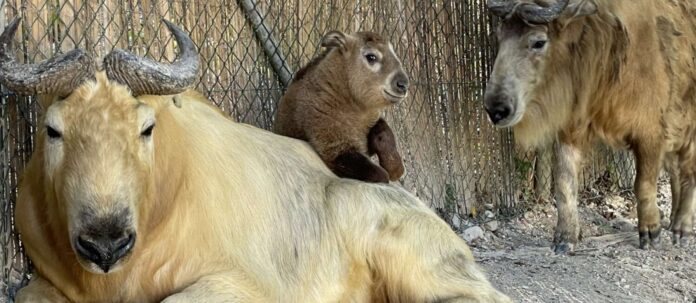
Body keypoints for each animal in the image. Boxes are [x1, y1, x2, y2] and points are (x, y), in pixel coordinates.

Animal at [274, 30, 408, 183]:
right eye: (371, 57)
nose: (403, 85)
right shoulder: (334, 147)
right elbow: (379, 175)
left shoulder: (370, 124)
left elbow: (385, 133)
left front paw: (395, 168)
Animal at [484, 0, 696, 254]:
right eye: (499, 37)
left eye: (538, 42)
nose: (496, 110)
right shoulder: (571, 130)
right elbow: (564, 183)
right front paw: (565, 236)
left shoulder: (650, 132)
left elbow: (643, 184)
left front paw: (650, 231)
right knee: (676, 168)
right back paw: (674, 219)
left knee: (688, 170)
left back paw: (682, 227)